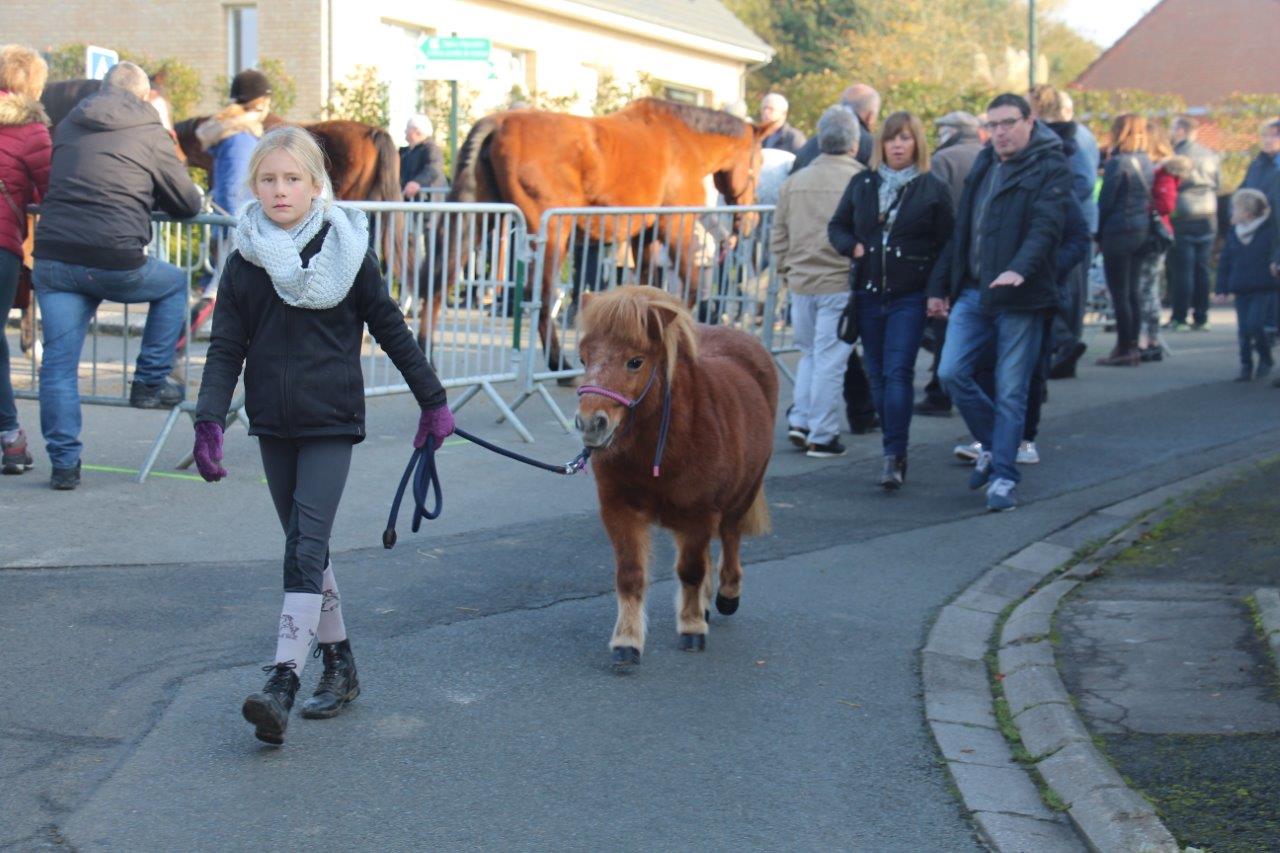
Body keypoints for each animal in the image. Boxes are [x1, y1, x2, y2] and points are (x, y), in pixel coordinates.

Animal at [435, 99, 762, 366]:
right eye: (757, 164)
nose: (750, 221)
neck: (682, 139)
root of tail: (499, 123)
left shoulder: (642, 238)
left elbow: (646, 288)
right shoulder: (675, 228)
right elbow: (689, 289)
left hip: (479, 219)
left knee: (441, 277)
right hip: (553, 232)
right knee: (540, 293)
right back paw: (558, 363)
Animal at [576, 285, 773, 666]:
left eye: (635, 361)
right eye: (582, 358)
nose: (590, 424)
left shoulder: (699, 513)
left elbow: (691, 571)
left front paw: (692, 628)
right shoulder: (619, 509)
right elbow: (631, 574)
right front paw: (627, 641)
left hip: (741, 496)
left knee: (730, 538)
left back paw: (726, 595)